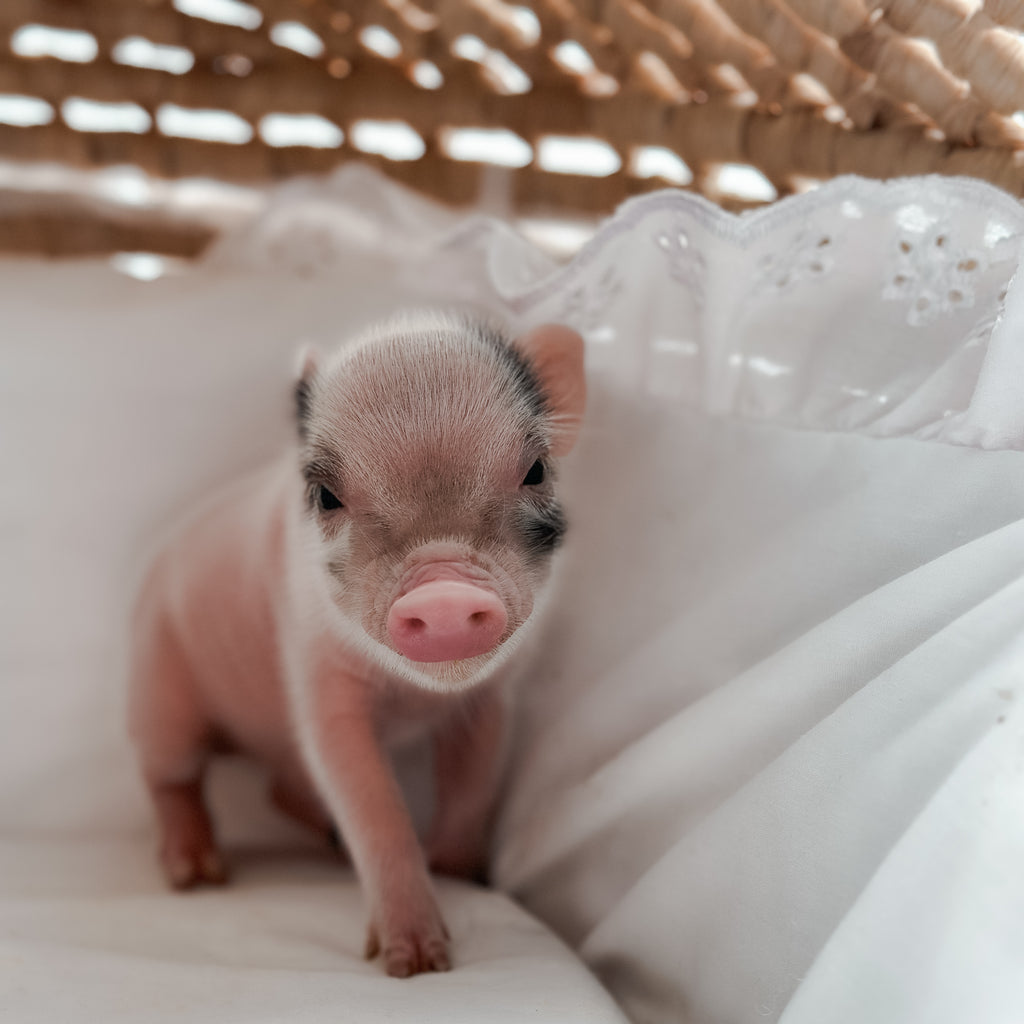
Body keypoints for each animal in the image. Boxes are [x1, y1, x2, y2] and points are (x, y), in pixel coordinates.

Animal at [128, 311, 585, 977]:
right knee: (170, 777)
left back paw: (322, 839)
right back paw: (198, 875)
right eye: (327, 497)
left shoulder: (493, 699)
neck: (414, 698)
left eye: (537, 470)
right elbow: (371, 802)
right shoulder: (318, 679)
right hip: (158, 683)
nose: (442, 595)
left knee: (278, 788)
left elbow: (473, 782)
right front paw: (415, 966)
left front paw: (458, 875)